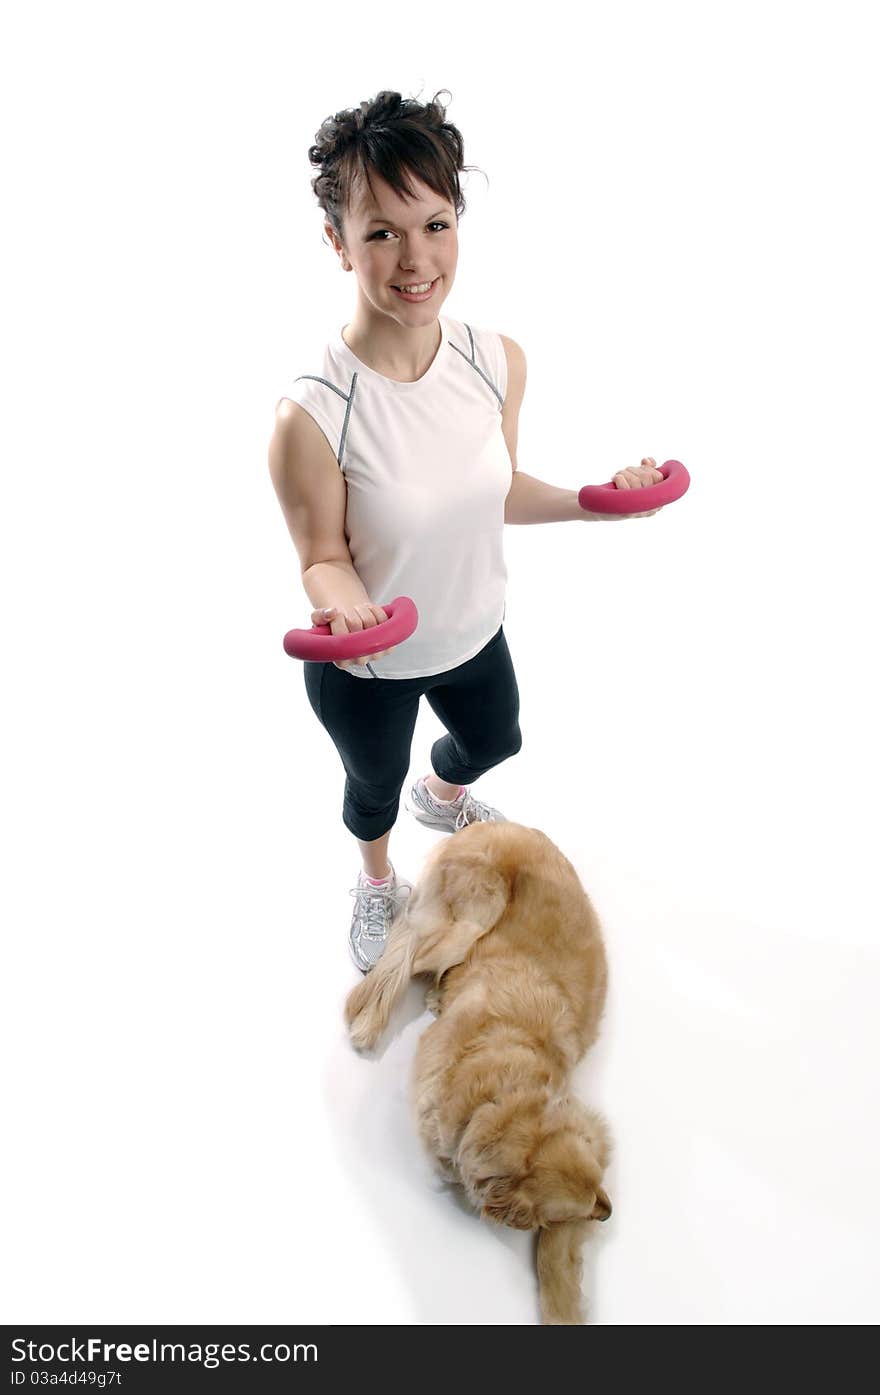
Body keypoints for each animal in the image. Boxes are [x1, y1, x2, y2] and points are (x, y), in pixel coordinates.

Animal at [344, 820, 613, 1322]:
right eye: (569, 1212)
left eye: (596, 1194)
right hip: (469, 922)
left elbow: (552, 1255)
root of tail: (484, 824)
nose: (609, 1212)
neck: (502, 1097)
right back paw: (369, 1023)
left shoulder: (594, 1130)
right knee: (401, 959)